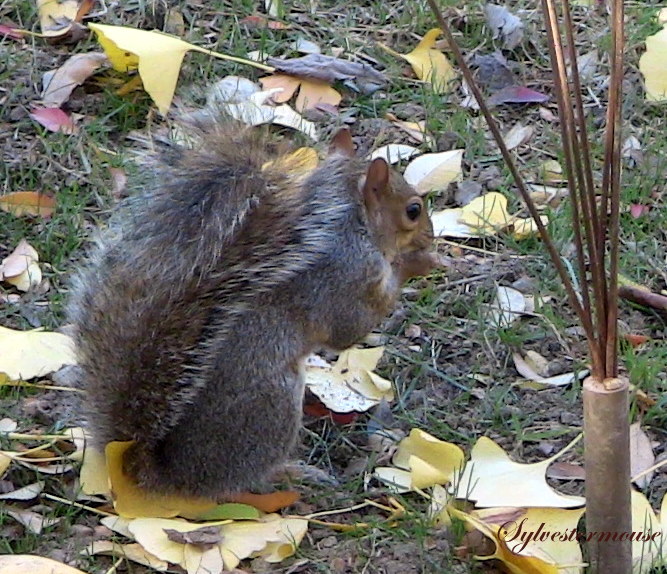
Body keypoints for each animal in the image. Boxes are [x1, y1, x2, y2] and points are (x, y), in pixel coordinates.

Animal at [65, 119, 436, 502]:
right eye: (413, 210)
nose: (431, 236)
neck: (354, 224)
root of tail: (172, 479)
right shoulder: (345, 273)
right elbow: (349, 328)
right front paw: (417, 262)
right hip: (272, 406)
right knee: (243, 482)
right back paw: (291, 474)